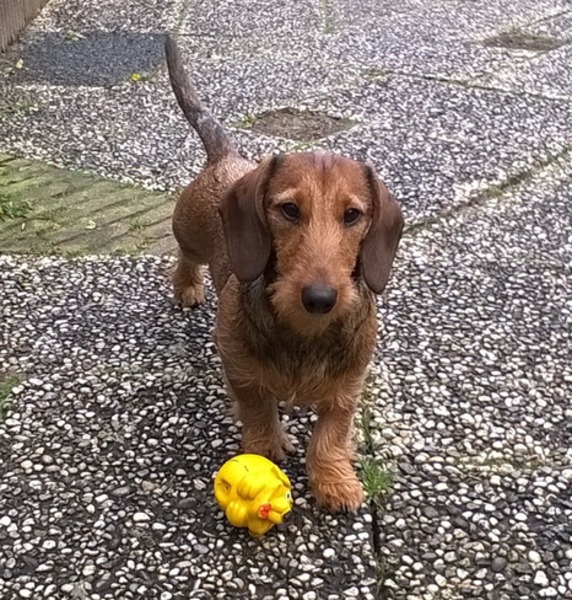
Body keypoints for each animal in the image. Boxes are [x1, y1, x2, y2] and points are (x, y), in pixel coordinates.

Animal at [165, 36, 403, 511]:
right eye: (290, 210)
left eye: (353, 215)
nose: (319, 298)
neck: (304, 333)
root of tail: (227, 157)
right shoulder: (239, 366)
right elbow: (258, 408)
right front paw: (268, 447)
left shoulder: (348, 386)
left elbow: (331, 434)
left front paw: (334, 480)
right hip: (188, 233)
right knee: (184, 254)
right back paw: (186, 285)